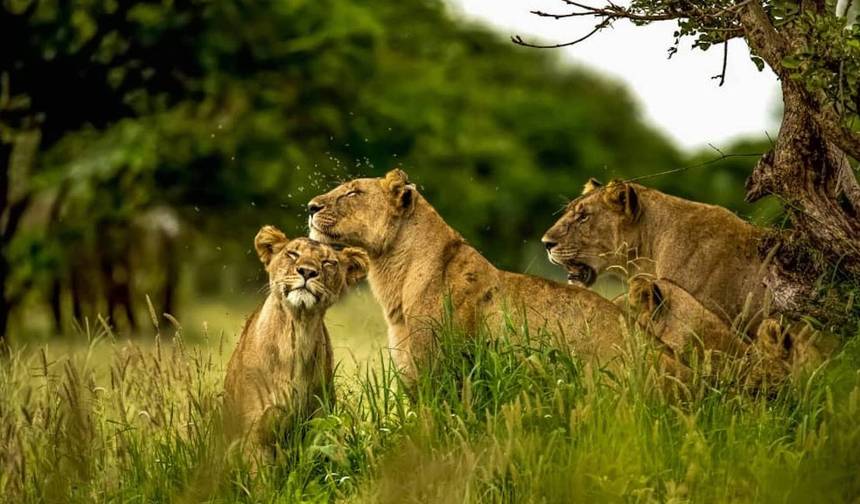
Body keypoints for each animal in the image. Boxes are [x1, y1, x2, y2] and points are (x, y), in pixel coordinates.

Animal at [223, 225, 369, 452]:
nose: (307, 272)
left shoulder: (318, 422)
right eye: (292, 254)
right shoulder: (255, 429)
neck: (298, 332)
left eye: (328, 262)